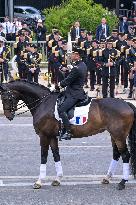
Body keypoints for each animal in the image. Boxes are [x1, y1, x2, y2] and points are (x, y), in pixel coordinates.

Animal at [0, 79, 136, 191]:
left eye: (6, 98)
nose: (8, 116)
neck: (43, 102)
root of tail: (126, 103)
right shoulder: (52, 136)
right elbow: (56, 155)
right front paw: (58, 179)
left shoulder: (44, 136)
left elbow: (44, 156)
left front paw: (39, 181)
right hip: (114, 135)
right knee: (116, 154)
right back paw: (107, 178)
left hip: (119, 136)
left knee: (125, 155)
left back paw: (122, 182)